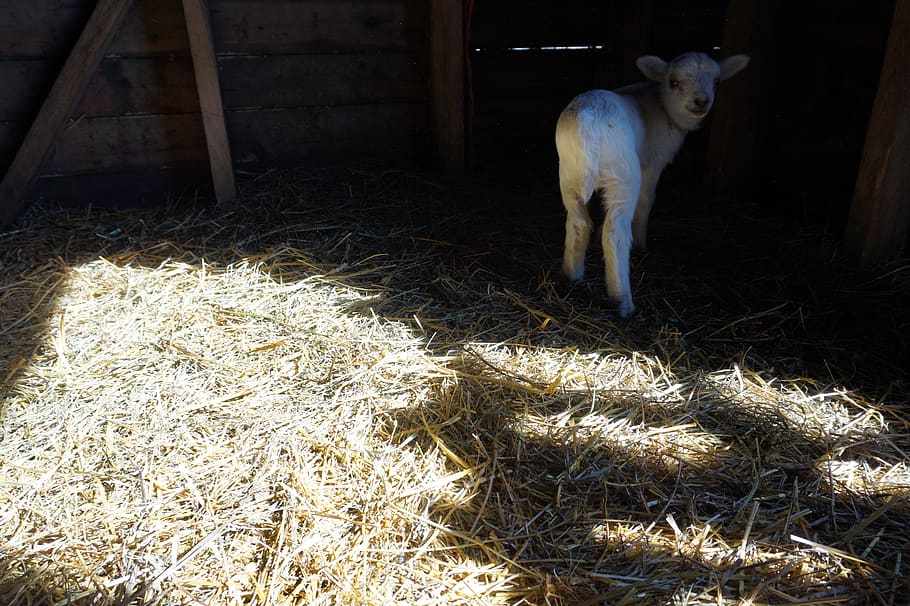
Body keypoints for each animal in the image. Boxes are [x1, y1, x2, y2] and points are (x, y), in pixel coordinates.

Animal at [556, 52, 750, 318]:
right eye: (674, 82)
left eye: (717, 81)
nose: (701, 102)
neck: (662, 106)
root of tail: (587, 122)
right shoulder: (653, 161)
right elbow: (647, 200)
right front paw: (641, 242)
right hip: (624, 173)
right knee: (615, 231)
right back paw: (623, 300)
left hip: (569, 171)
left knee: (578, 221)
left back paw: (571, 276)